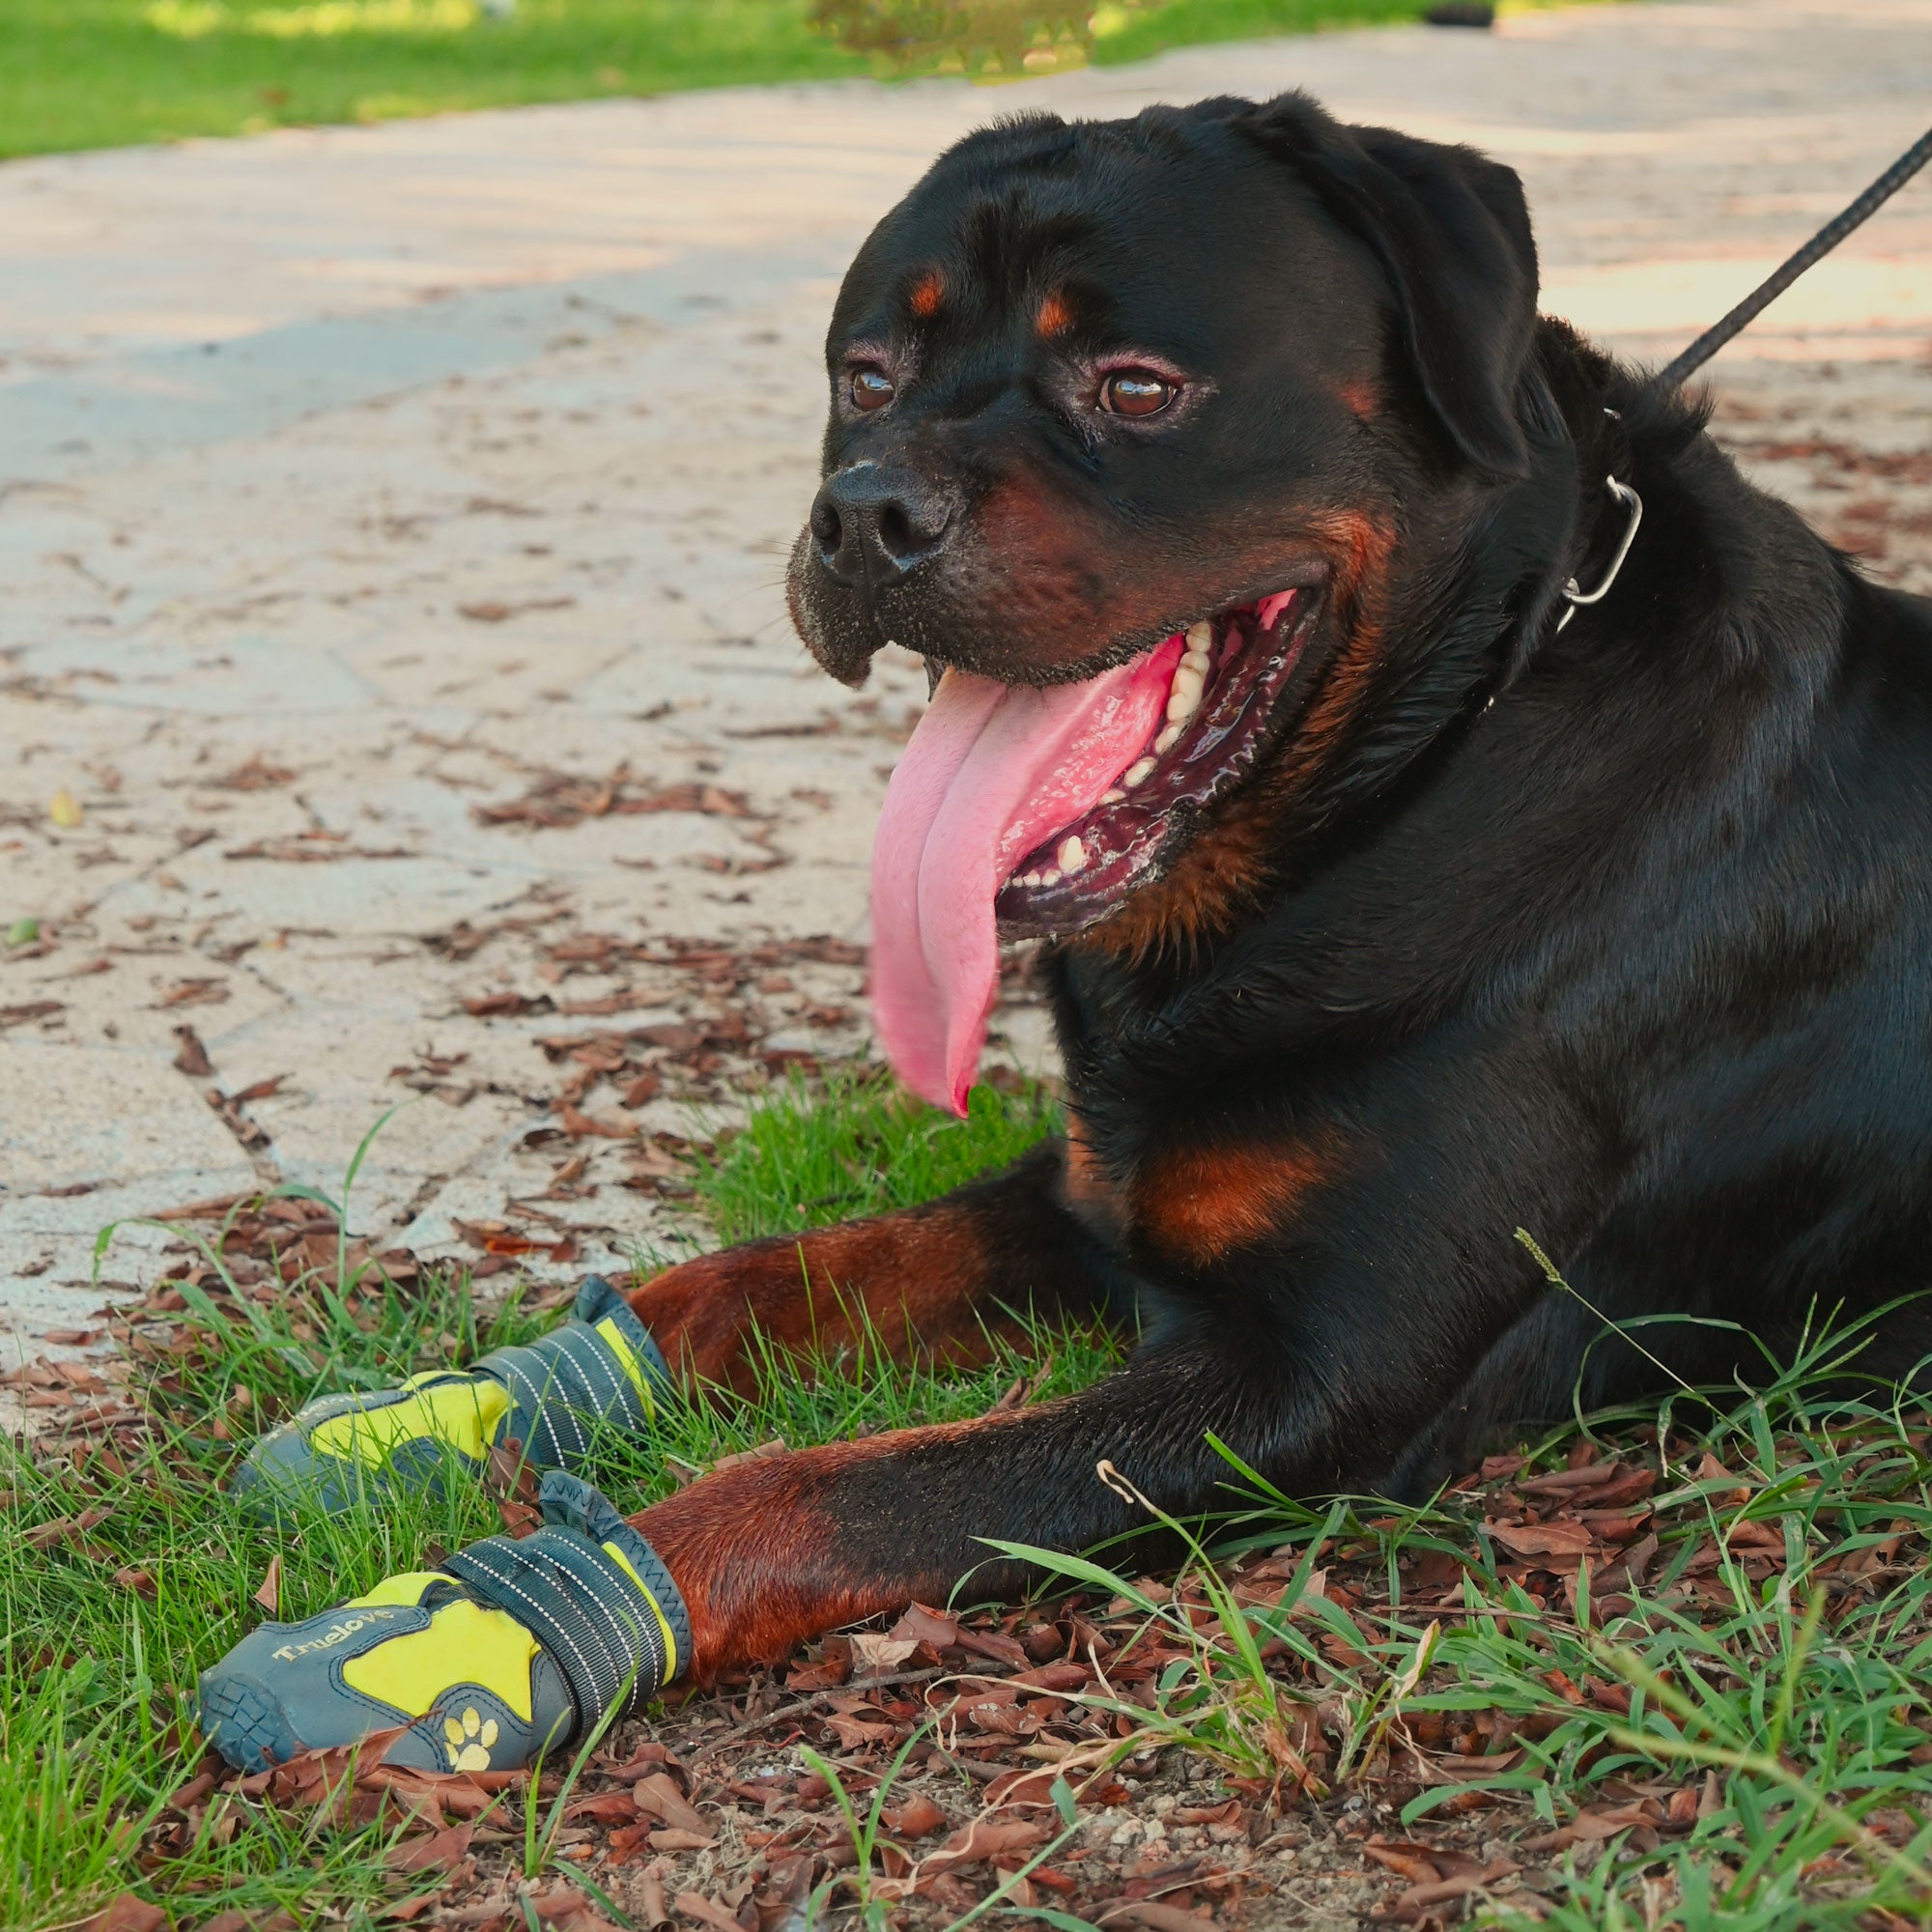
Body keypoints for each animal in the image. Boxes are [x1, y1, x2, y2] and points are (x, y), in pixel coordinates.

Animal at [595, 91, 1924, 1669]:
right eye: (866, 377)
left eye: (1138, 388)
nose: (862, 513)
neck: (1427, 766)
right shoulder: (1101, 1187)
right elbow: (771, 1271)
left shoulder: (1310, 1374)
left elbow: (828, 1490)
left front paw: (523, 1606)